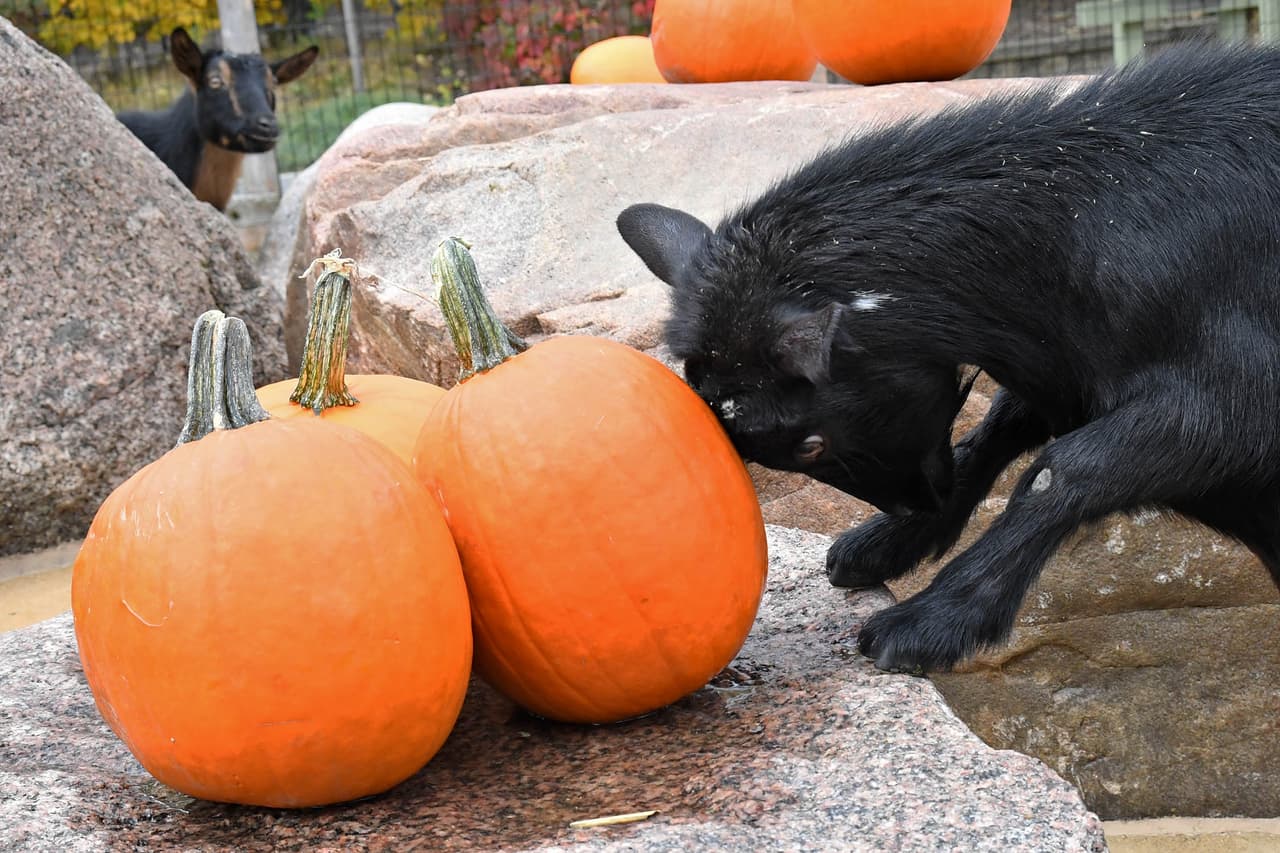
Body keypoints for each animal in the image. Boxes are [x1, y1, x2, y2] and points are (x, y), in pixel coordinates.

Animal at [617, 40, 1280, 674]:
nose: (918, 504)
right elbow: (997, 430)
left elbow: (1069, 467)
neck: (1081, 222)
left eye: (811, 444)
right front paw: (888, 543)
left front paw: (930, 621)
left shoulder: (1232, 397)